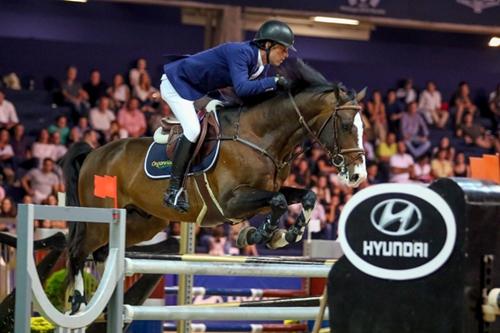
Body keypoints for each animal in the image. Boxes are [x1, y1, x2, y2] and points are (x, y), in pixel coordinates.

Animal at [62, 59, 368, 308]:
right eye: (345, 125)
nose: (358, 175)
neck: (261, 136)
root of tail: (95, 153)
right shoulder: (231, 202)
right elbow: (279, 202)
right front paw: (262, 234)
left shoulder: (264, 193)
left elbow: (305, 196)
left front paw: (283, 235)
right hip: (101, 219)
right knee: (77, 252)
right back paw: (78, 302)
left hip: (142, 222)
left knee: (101, 252)